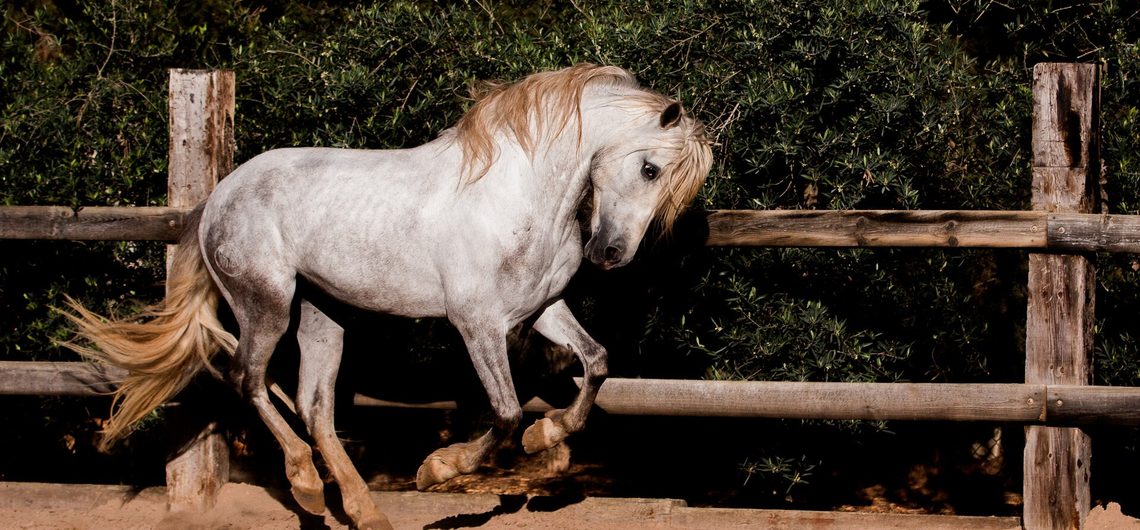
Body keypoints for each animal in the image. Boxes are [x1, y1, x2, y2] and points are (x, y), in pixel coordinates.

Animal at [63, 64, 713, 530]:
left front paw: (546, 434)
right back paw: (305, 485)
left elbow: (596, 363)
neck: (518, 195)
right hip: (265, 304)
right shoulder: (475, 322)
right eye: (651, 168)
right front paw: (436, 470)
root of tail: (220, 195)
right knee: (249, 380)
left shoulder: (541, 310)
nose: (611, 253)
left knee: (314, 405)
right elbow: (504, 411)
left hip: (323, 314)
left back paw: (363, 511)